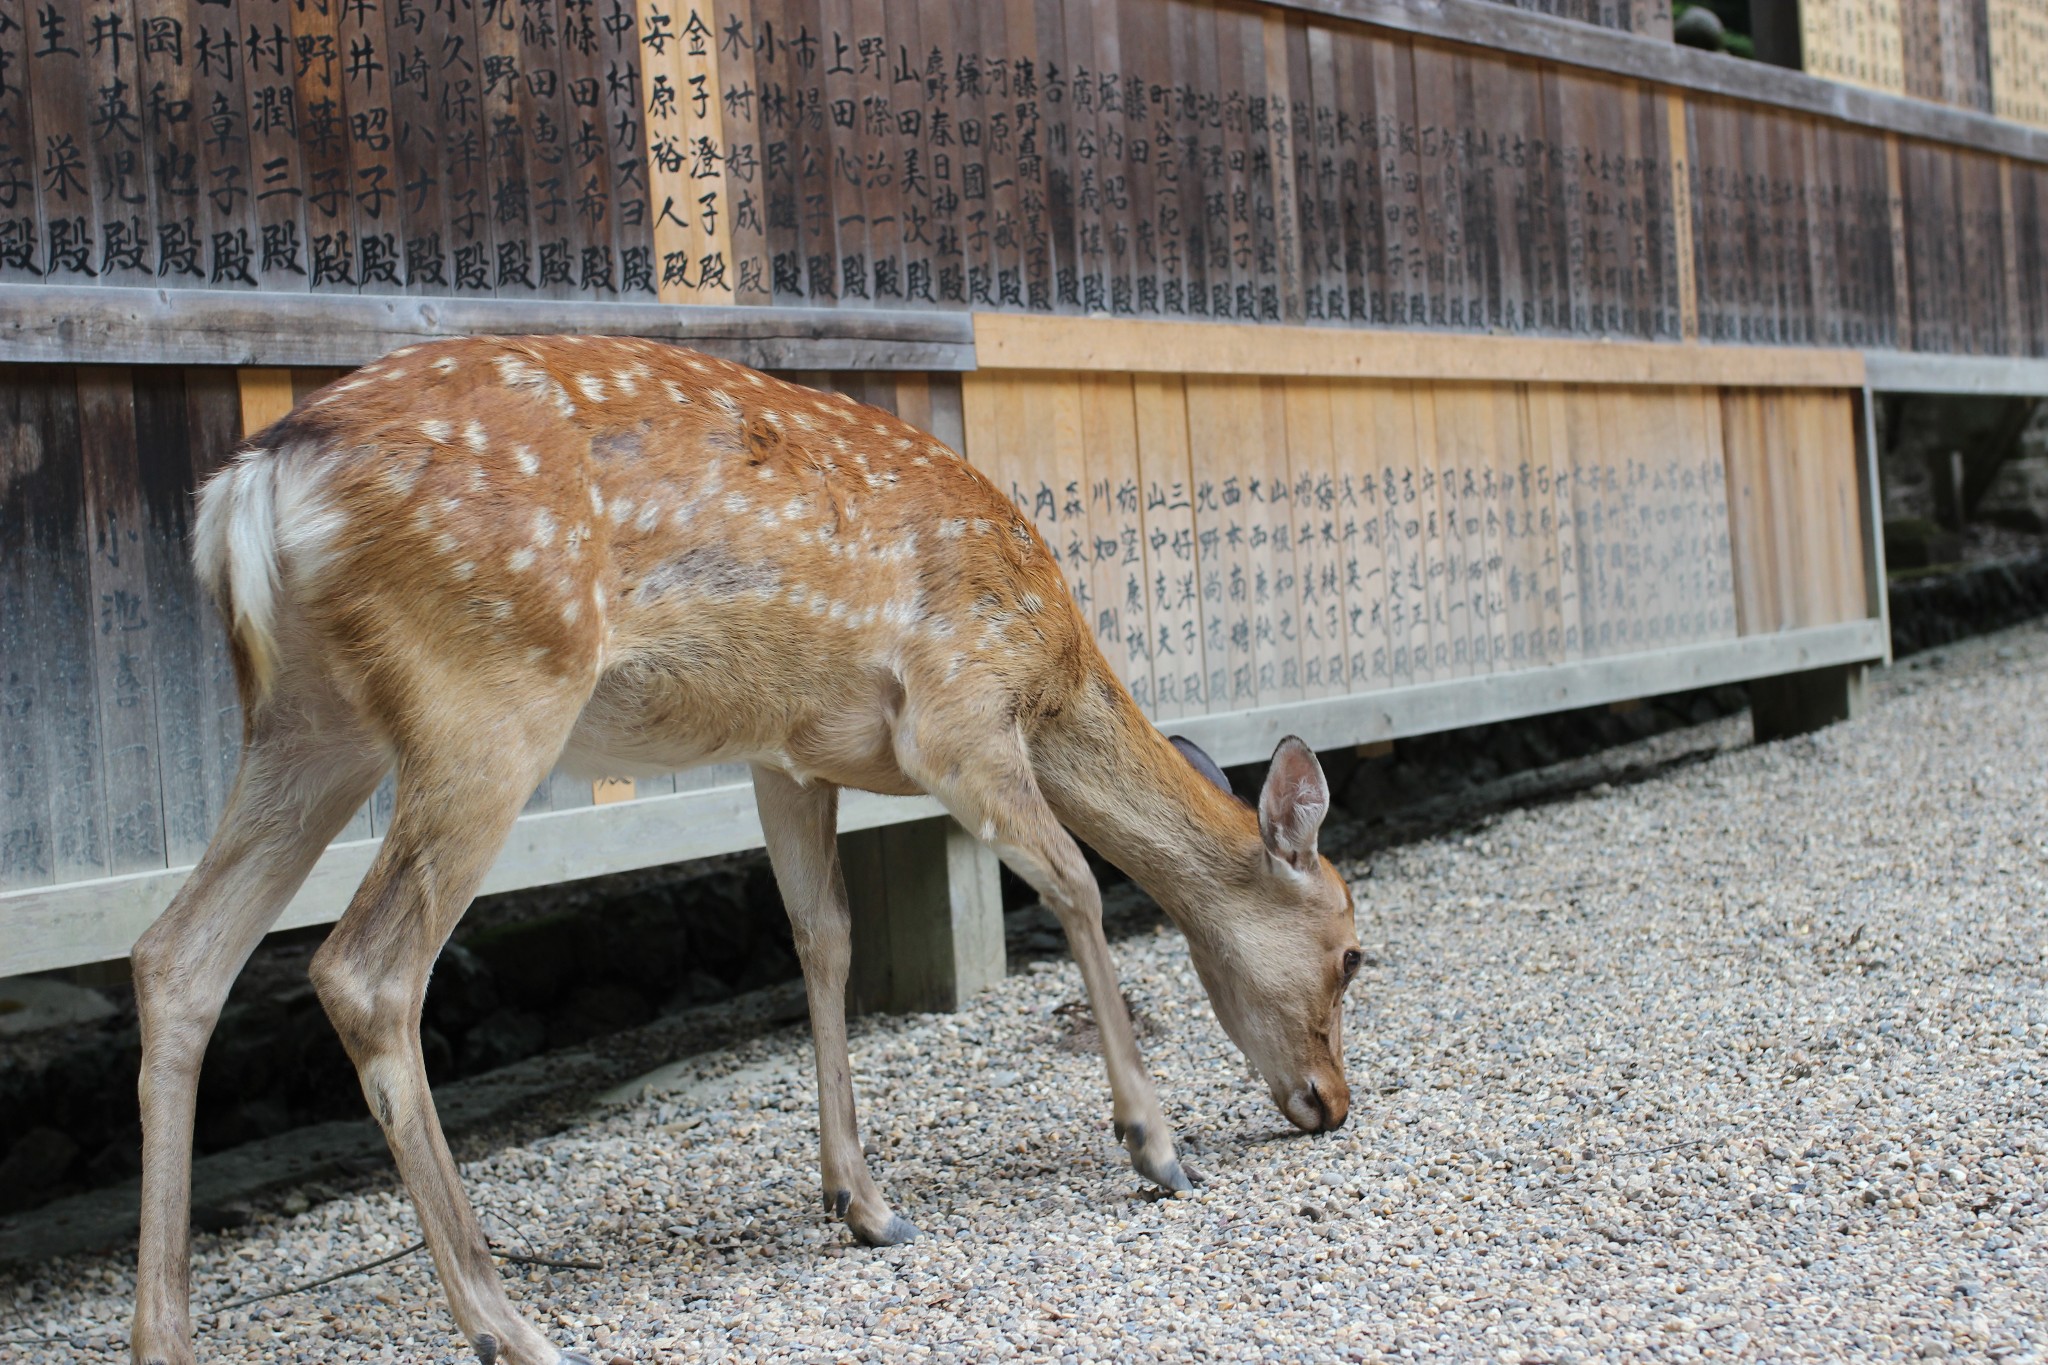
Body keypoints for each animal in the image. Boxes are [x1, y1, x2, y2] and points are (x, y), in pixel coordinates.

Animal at [136, 339, 1368, 1365]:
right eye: (1354, 952)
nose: (1333, 1102)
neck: (1049, 673)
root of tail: (253, 484)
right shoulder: (957, 715)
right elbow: (1074, 886)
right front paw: (1154, 1145)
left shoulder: (791, 753)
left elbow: (823, 938)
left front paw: (863, 1203)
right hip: (486, 691)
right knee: (363, 969)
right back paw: (507, 1326)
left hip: (309, 722)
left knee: (175, 957)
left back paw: (167, 1336)